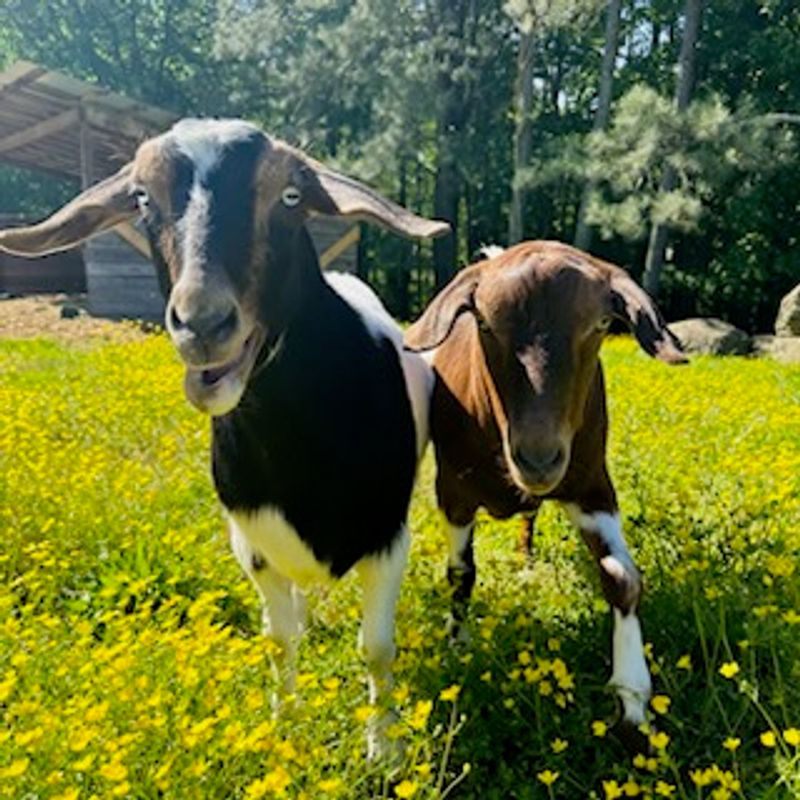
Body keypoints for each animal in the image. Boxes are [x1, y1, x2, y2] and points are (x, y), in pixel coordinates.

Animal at [0, 118, 448, 759]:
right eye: (142, 199)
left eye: (290, 196)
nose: (204, 324)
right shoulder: (252, 545)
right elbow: (278, 641)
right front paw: (285, 723)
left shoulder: (389, 537)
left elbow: (376, 648)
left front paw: (384, 749)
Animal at [404, 241, 685, 745]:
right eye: (483, 323)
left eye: (600, 324)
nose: (538, 459)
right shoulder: (452, 490)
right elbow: (460, 572)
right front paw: (457, 644)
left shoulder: (591, 484)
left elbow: (623, 578)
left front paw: (634, 701)